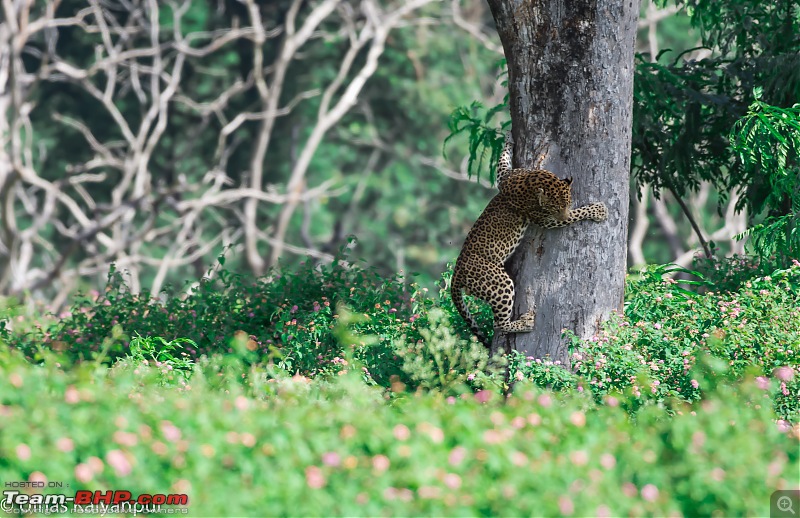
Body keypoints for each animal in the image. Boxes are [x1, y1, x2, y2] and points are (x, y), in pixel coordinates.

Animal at [450, 130, 608, 352]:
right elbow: (575, 215)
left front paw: (508, 139)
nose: (561, 213)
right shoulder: (545, 219)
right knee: (499, 324)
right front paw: (598, 211)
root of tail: (456, 274)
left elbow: (502, 162)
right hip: (498, 282)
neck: (532, 181)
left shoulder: (504, 177)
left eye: (566, 203)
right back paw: (525, 323)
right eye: (556, 208)